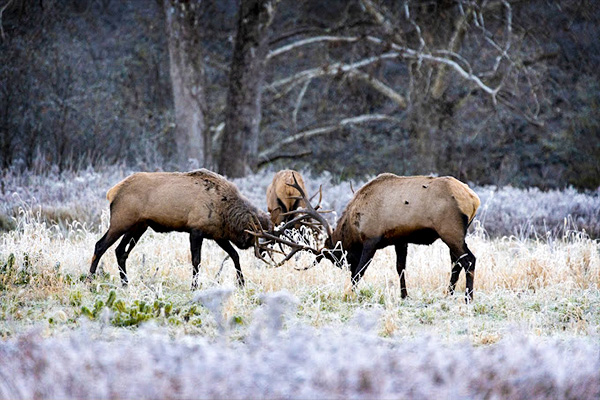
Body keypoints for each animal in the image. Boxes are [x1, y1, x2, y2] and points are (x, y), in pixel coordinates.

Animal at [88, 169, 272, 288]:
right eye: (262, 236)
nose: (263, 252)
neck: (225, 211)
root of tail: (112, 192)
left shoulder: (218, 235)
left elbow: (234, 255)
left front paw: (241, 283)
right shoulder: (196, 230)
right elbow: (196, 260)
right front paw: (194, 287)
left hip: (139, 226)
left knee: (120, 251)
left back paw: (125, 283)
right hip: (121, 221)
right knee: (100, 245)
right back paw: (90, 281)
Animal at [255, 172, 480, 300]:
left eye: (339, 258)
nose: (344, 267)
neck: (354, 224)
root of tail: (473, 199)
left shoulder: (372, 239)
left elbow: (360, 272)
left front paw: (349, 294)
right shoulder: (400, 239)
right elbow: (400, 268)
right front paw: (404, 296)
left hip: (450, 230)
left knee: (469, 260)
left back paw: (468, 298)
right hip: (454, 234)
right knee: (456, 262)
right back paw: (449, 294)